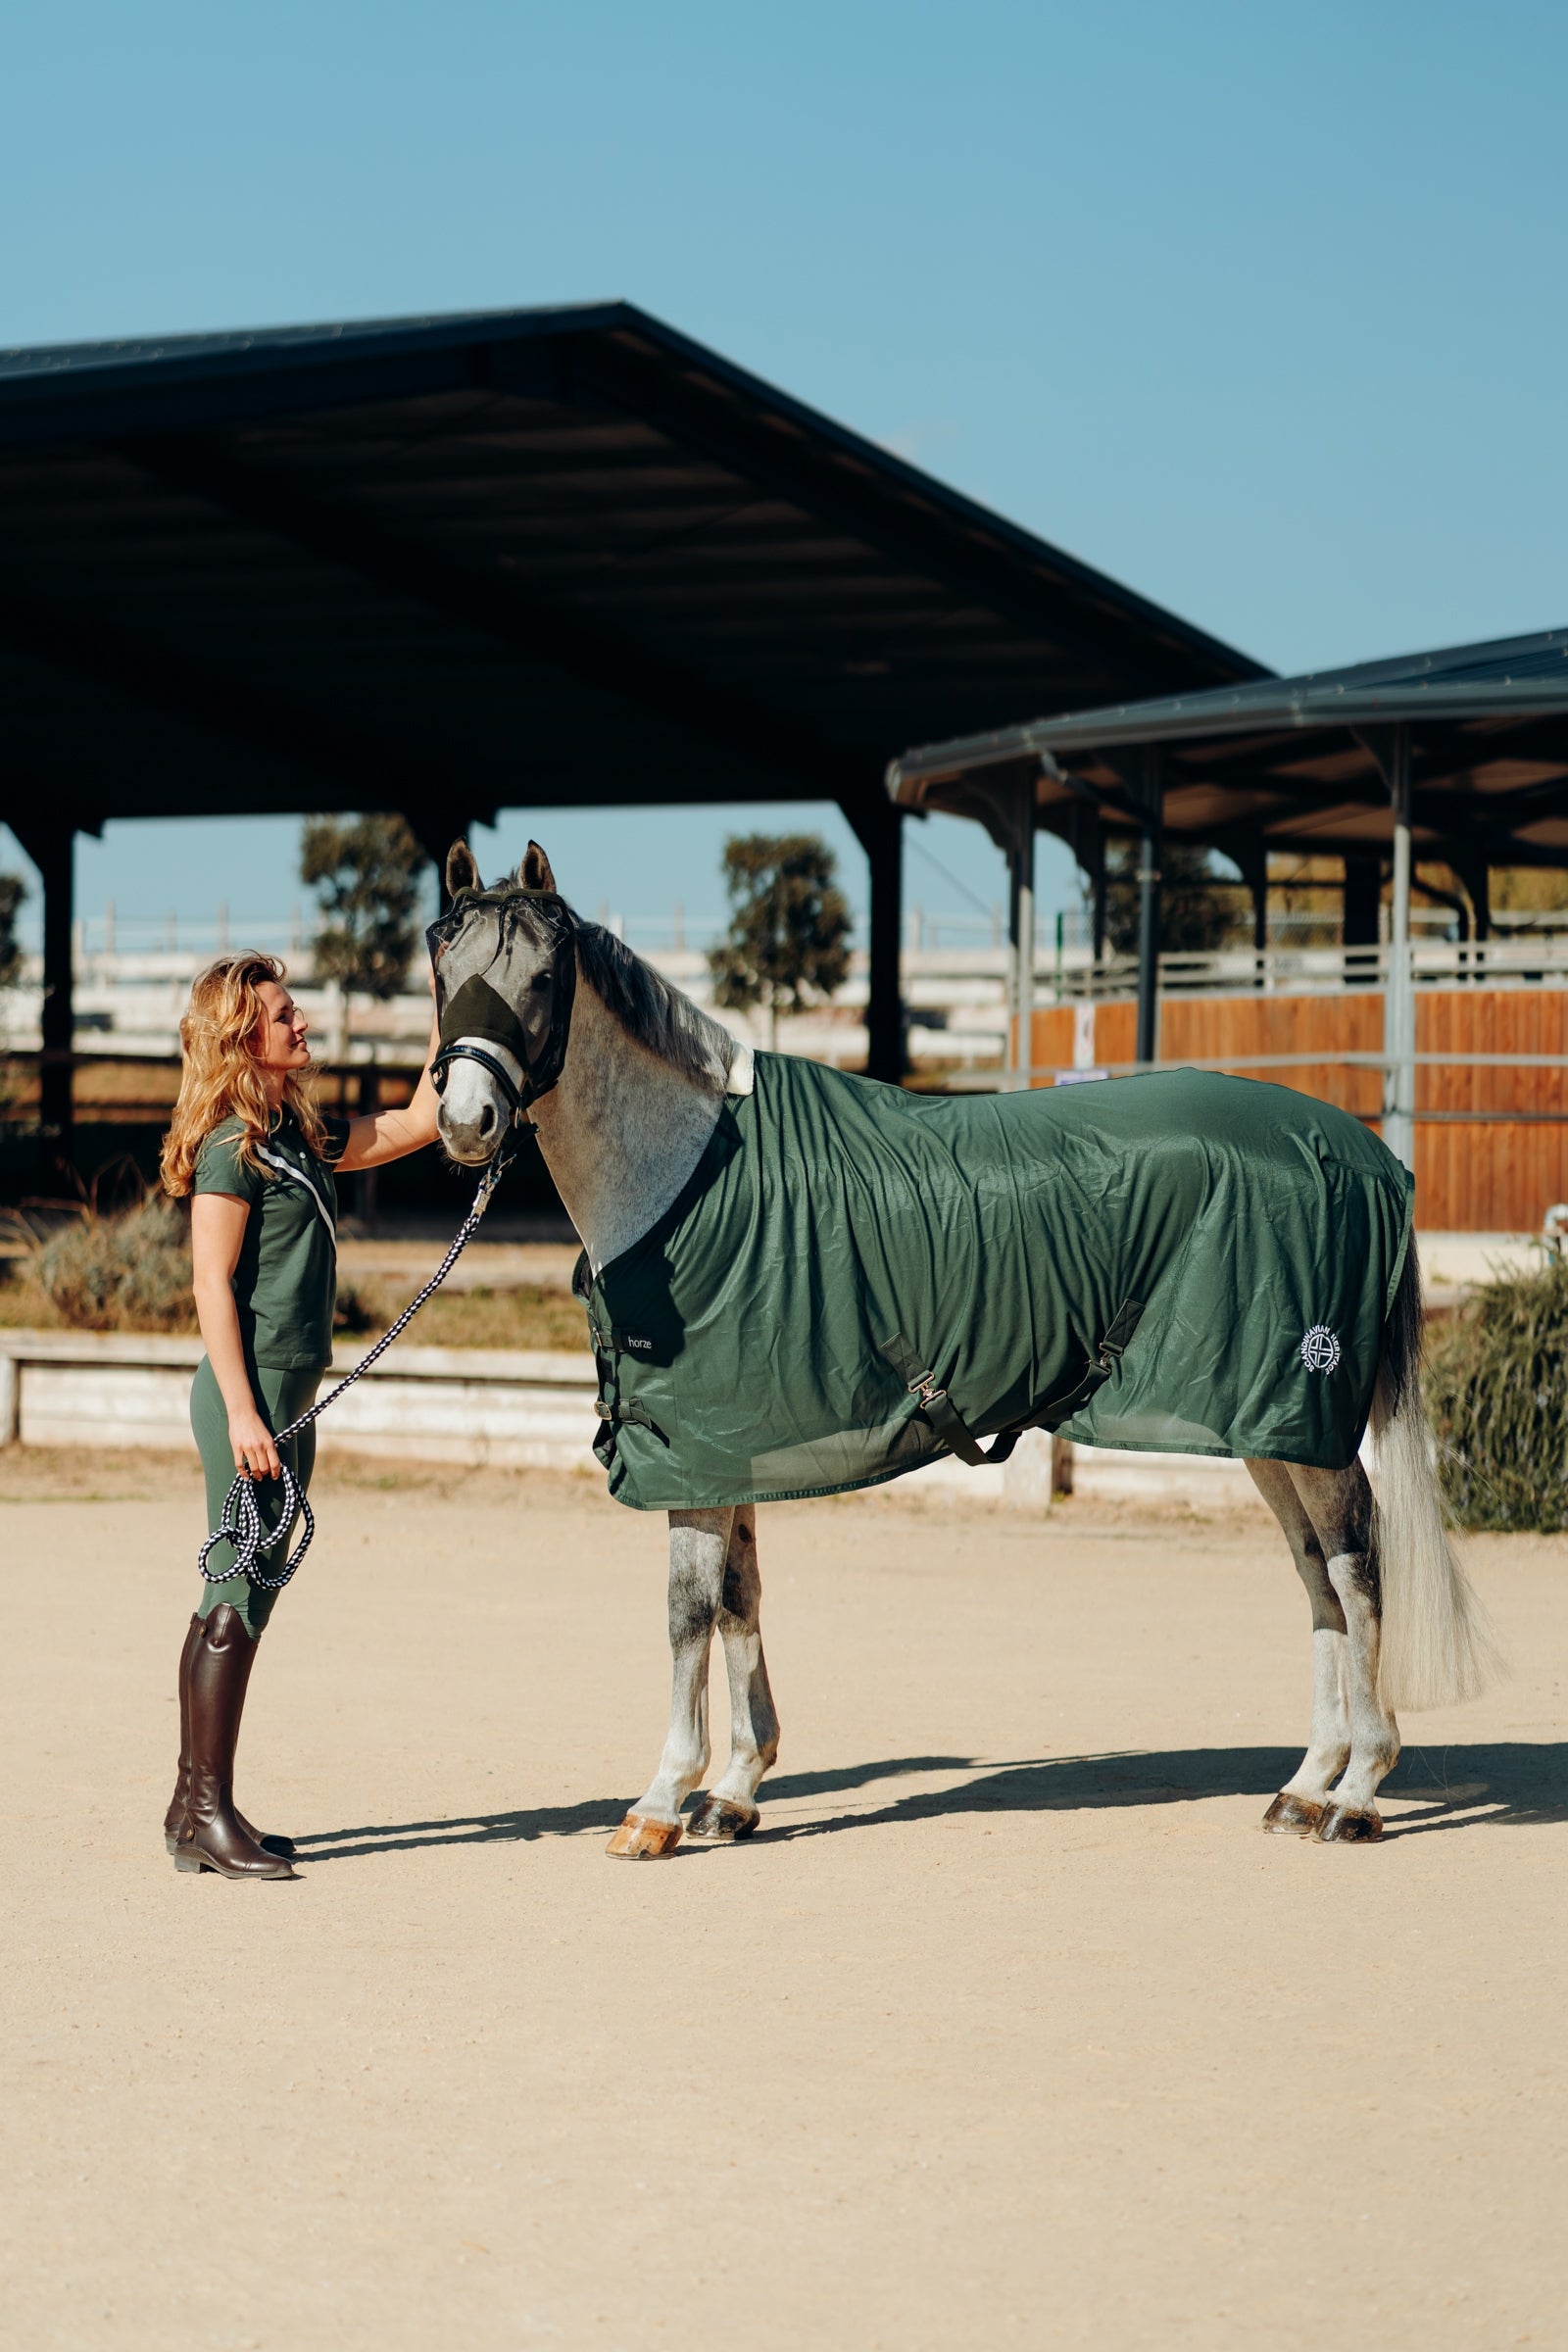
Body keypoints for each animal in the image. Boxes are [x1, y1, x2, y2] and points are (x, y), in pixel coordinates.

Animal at [428, 841, 1498, 1859]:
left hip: (1302, 1421)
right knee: (1315, 1573)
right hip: (1265, 1425)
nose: (466, 1122)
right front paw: (733, 1794)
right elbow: (739, 1601)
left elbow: (688, 1613)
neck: (689, 1173)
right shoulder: (727, 1447)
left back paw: (1356, 1795)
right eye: (445, 967)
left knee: (1356, 1568)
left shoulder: (694, 1452)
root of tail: (1365, 1153)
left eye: (541, 977)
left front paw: (659, 1805)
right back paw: (1305, 1785)